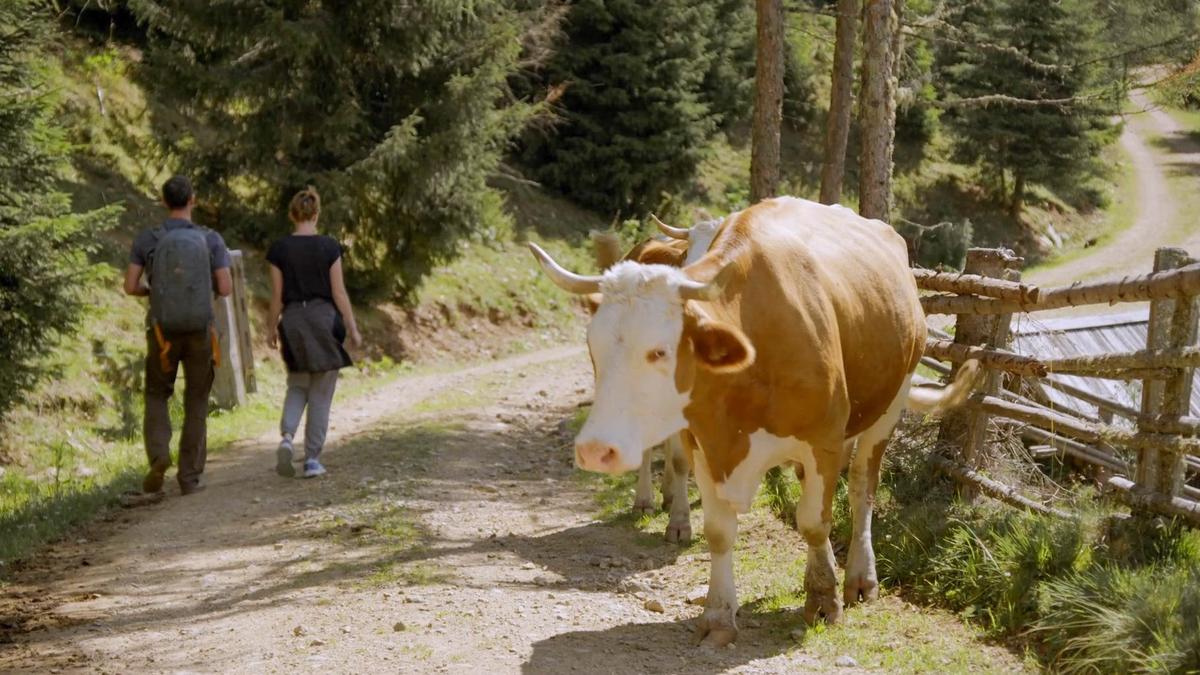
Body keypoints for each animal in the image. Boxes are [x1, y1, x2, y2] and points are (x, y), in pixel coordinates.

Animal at [530, 195, 979, 648]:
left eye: (659, 351)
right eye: (593, 345)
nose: (594, 450)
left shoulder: (823, 439)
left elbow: (814, 522)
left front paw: (823, 599)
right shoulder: (704, 441)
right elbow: (719, 530)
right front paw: (718, 615)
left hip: (888, 407)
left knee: (860, 489)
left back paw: (859, 577)